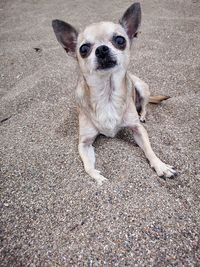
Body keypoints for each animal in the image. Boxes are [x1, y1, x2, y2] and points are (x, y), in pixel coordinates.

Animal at [52, 2, 177, 186]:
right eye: (83, 49)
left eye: (120, 40)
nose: (102, 49)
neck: (107, 94)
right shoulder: (84, 143)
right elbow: (88, 166)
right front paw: (99, 178)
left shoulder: (138, 130)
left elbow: (149, 150)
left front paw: (161, 166)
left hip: (141, 86)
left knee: (145, 105)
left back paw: (142, 115)